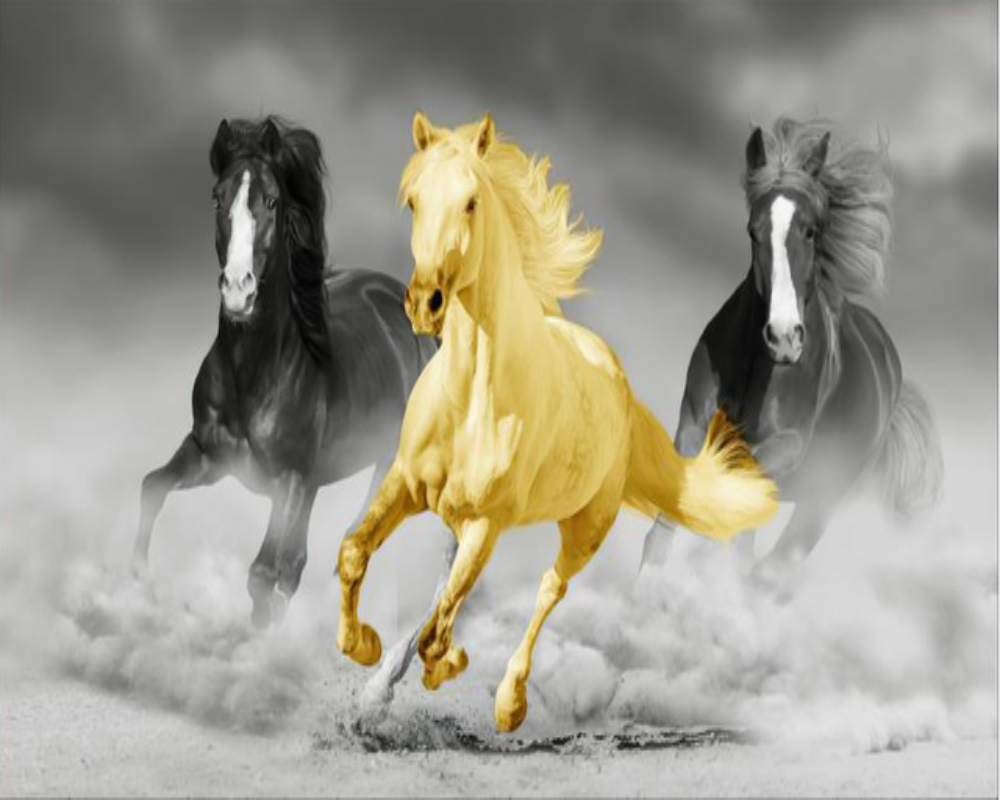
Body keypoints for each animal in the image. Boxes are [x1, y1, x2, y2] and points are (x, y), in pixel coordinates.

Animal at [132, 115, 456, 703]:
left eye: (272, 200)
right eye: (217, 197)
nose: (238, 291)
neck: (257, 371)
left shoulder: (290, 479)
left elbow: (264, 574)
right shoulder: (211, 457)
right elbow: (153, 487)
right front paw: (141, 581)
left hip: (379, 467)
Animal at [334, 112, 778, 733]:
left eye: (471, 202)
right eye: (414, 200)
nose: (426, 303)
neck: (472, 400)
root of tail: (618, 381)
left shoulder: (487, 523)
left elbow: (441, 627)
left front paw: (447, 665)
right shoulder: (405, 482)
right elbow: (356, 554)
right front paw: (364, 648)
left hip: (584, 527)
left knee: (548, 589)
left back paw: (509, 703)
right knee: (449, 585)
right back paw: (382, 688)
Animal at [639, 118, 943, 588]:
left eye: (811, 230)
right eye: (753, 230)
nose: (784, 337)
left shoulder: (788, 445)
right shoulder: (692, 422)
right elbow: (668, 524)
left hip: (822, 501)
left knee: (773, 567)